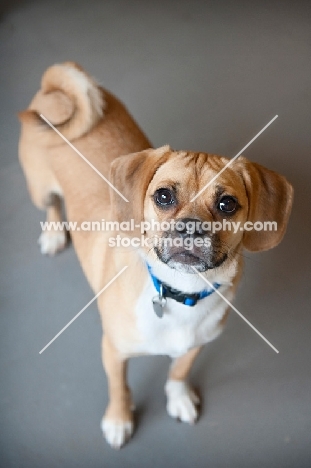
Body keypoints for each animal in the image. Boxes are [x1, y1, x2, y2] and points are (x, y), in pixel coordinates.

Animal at [18, 63, 294, 450]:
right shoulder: (113, 352)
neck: (179, 291)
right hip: (39, 189)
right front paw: (119, 420)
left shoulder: (196, 344)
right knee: (52, 205)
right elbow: (120, 388)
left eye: (227, 204)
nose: (190, 228)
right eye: (163, 197)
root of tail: (55, 90)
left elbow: (178, 371)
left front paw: (178, 398)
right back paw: (55, 233)